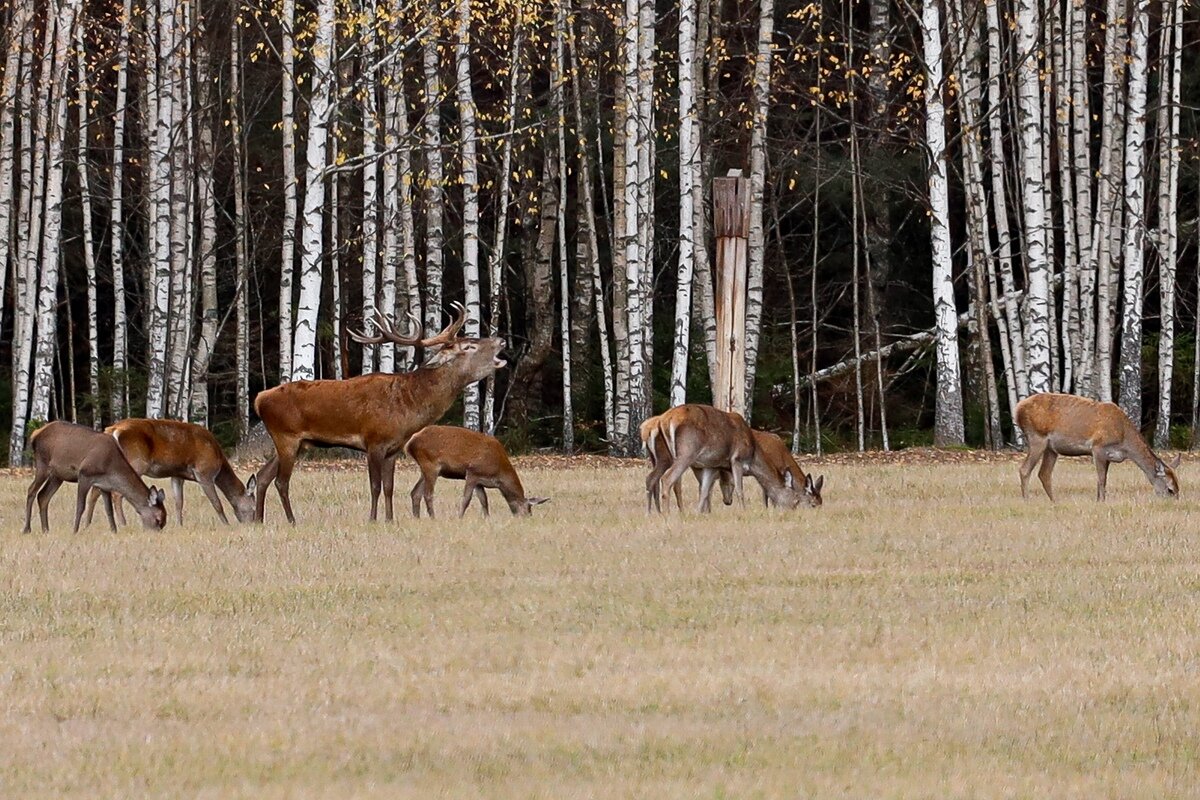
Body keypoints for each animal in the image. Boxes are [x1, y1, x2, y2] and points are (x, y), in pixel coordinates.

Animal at [22, 422, 168, 534]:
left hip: (57, 475)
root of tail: (35, 434)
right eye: (158, 519)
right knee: (31, 490)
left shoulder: (104, 485)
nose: (156, 534)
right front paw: (75, 531)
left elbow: (109, 510)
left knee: (43, 496)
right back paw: (27, 529)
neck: (111, 467)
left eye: (164, 521)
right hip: (42, 463)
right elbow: (80, 506)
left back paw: (46, 529)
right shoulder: (84, 475)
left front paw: (114, 531)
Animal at [84, 419, 258, 525]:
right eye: (254, 507)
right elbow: (217, 503)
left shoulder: (177, 475)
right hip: (135, 461)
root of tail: (112, 429)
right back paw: (123, 523)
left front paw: (179, 524)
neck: (219, 461)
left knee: (95, 491)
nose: (252, 523)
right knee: (116, 493)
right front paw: (226, 524)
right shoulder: (204, 472)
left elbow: (178, 502)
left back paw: (87, 523)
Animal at [254, 303, 506, 522]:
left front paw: (390, 519)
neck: (408, 407)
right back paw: (291, 520)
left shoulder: (393, 448)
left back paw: (258, 519)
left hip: (295, 443)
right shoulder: (374, 441)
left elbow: (389, 487)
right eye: (469, 346)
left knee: (263, 476)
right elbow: (374, 486)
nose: (501, 340)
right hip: (287, 436)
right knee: (281, 482)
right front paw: (373, 519)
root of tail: (259, 399)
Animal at [405, 424, 549, 520]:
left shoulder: (480, 480)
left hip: (425, 468)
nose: (527, 519)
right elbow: (466, 499)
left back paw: (417, 518)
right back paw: (433, 518)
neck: (498, 474)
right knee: (427, 494)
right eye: (528, 508)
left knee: (415, 492)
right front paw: (460, 517)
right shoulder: (472, 472)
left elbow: (484, 500)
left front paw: (487, 519)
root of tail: (410, 442)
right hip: (431, 464)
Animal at [1012, 393, 1180, 501]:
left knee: (1044, 474)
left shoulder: (1109, 456)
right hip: (1037, 437)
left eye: (1179, 487)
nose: (1175, 502)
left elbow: (1103, 479)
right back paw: (1027, 500)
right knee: (1024, 469)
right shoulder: (1098, 447)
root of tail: (1017, 409)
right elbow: (1101, 479)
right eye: (1170, 489)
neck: (1124, 441)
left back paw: (1054, 501)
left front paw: (1099, 499)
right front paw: (1101, 501)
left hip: (1051, 448)